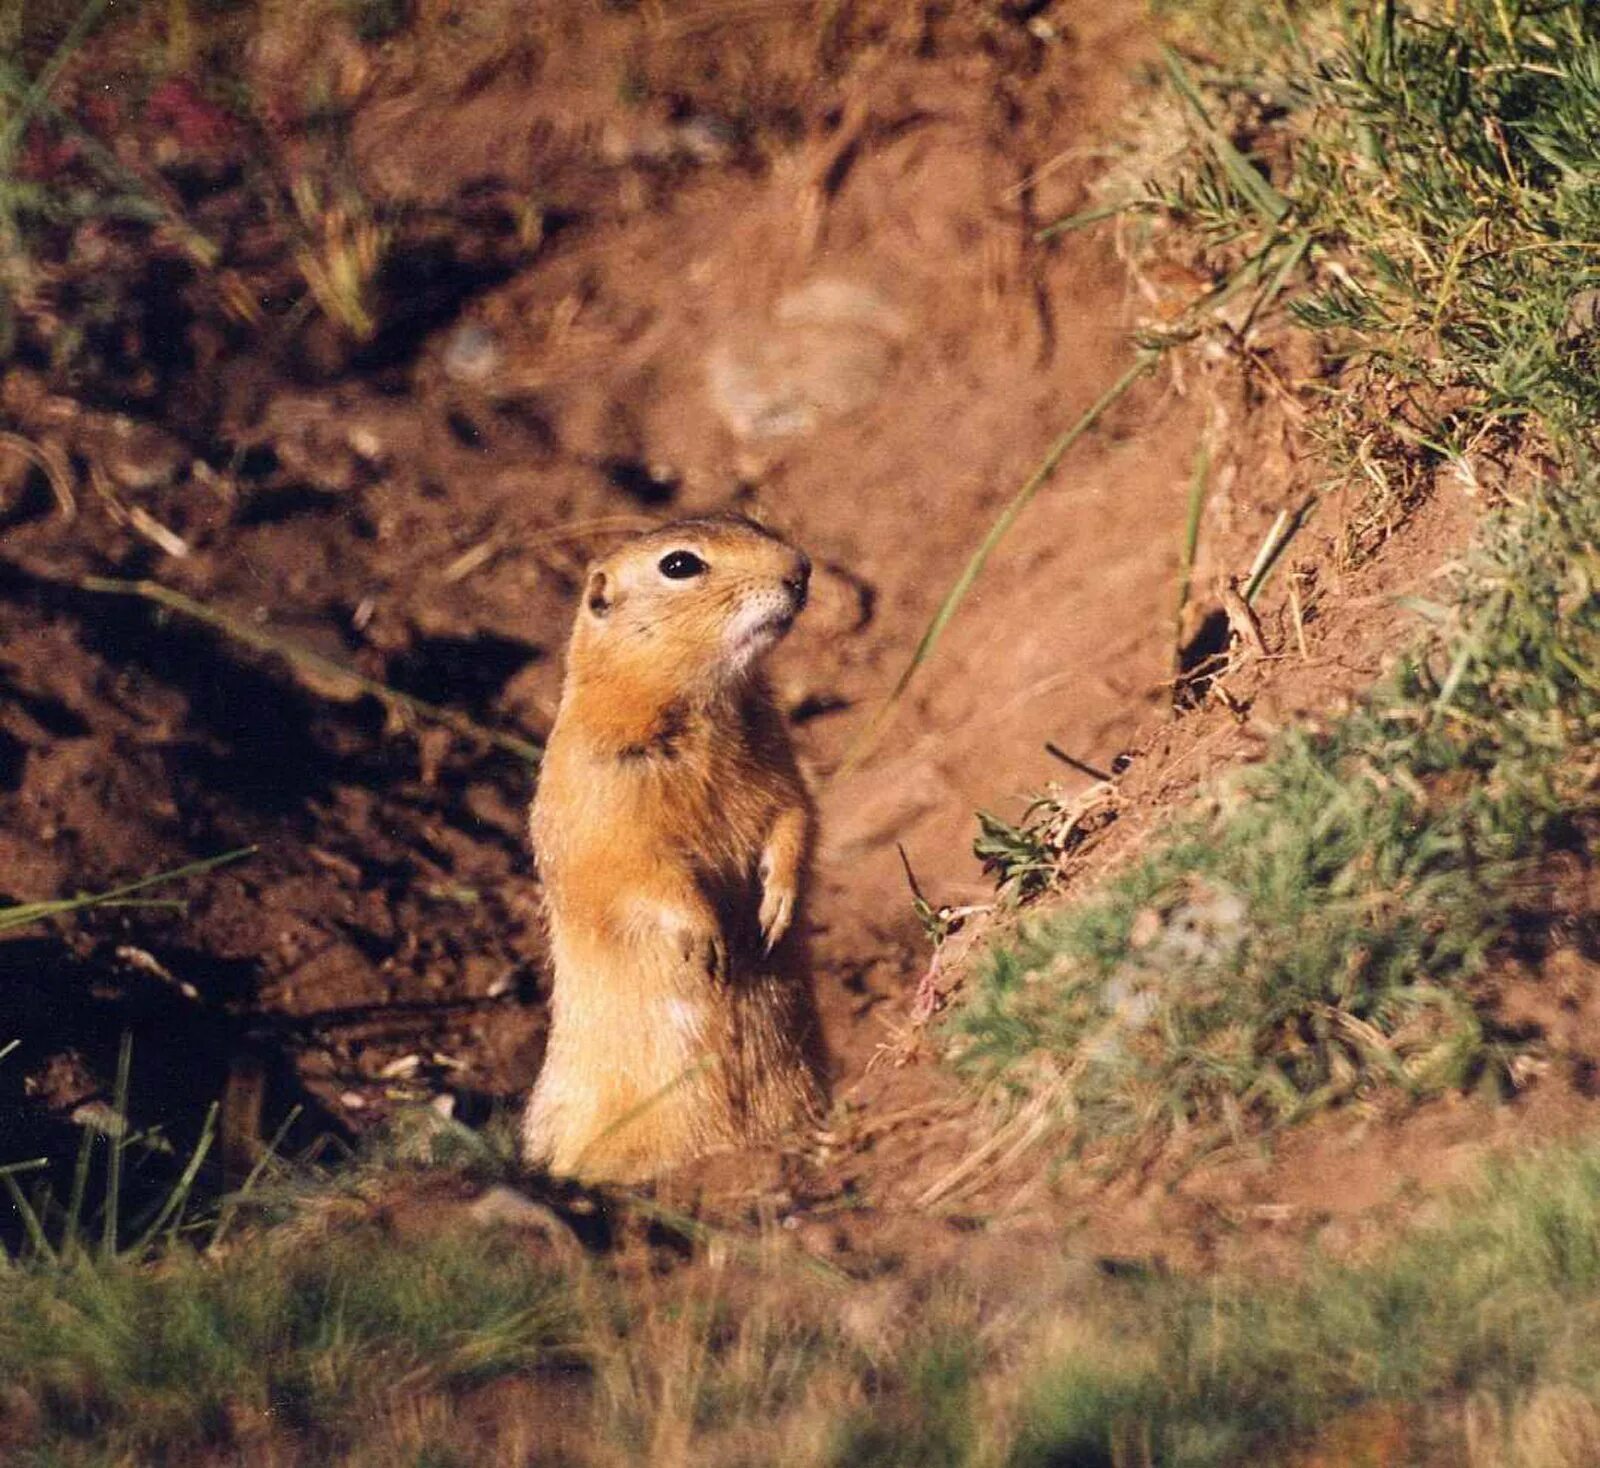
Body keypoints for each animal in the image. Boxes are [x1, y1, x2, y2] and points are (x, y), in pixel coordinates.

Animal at [521, 518, 825, 1183]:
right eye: (680, 565)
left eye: (754, 523)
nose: (801, 569)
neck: (703, 708)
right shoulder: (607, 805)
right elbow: (643, 872)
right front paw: (709, 943)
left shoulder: (780, 766)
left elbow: (795, 819)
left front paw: (775, 911)